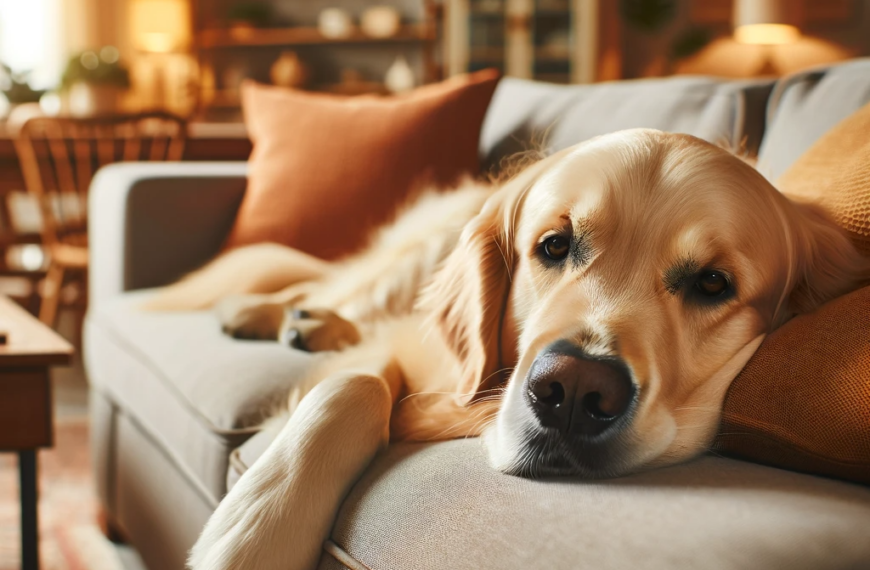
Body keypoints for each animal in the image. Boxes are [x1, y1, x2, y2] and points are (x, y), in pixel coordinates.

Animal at [146, 129, 868, 568]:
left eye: (713, 283)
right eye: (554, 245)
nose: (573, 390)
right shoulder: (418, 348)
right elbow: (351, 387)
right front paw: (257, 533)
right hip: (411, 259)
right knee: (327, 284)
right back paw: (263, 311)